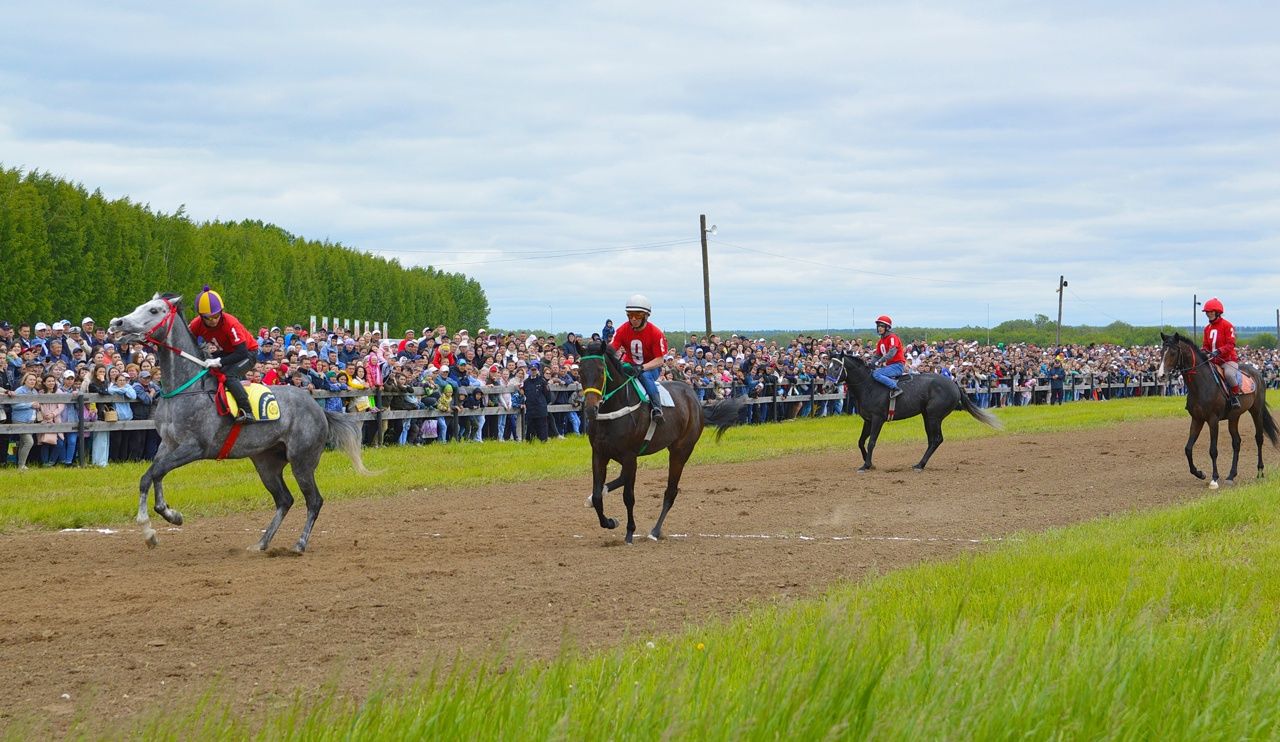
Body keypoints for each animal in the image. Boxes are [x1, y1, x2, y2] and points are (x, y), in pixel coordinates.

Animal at [109, 292, 371, 552]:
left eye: (153, 310)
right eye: (140, 305)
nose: (117, 323)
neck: (185, 389)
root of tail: (318, 408)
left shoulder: (194, 447)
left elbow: (152, 475)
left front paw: (148, 530)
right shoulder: (168, 444)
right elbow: (155, 474)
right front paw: (170, 515)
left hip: (302, 461)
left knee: (314, 500)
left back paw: (299, 544)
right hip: (266, 462)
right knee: (285, 500)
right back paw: (261, 543)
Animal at [578, 340, 747, 542]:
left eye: (601, 370)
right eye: (580, 371)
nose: (590, 410)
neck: (614, 410)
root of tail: (695, 401)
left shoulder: (629, 456)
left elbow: (628, 497)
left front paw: (629, 532)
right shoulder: (599, 454)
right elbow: (597, 496)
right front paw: (609, 521)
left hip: (681, 451)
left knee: (670, 492)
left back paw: (655, 531)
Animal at [824, 353, 1003, 470]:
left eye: (837, 367)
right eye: (827, 366)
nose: (826, 386)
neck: (869, 386)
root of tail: (954, 384)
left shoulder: (877, 419)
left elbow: (871, 441)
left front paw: (867, 464)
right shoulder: (867, 420)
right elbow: (861, 442)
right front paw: (869, 463)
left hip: (934, 416)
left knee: (937, 439)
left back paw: (920, 464)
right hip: (927, 416)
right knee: (932, 440)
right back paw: (920, 463)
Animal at [1157, 332, 1274, 486]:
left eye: (1173, 352)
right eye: (1161, 352)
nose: (1161, 376)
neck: (1201, 384)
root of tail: (1257, 373)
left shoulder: (1213, 420)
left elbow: (1213, 450)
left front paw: (1214, 478)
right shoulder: (1197, 419)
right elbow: (1188, 448)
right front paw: (1200, 473)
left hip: (1257, 411)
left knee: (1259, 438)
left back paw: (1260, 471)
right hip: (1234, 416)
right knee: (1236, 442)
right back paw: (1231, 475)